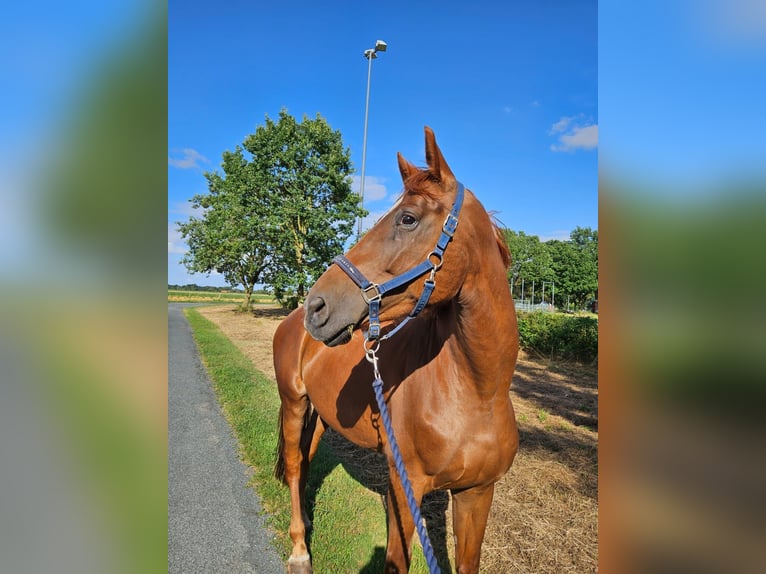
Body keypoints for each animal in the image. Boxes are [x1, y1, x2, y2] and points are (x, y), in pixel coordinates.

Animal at [273, 127, 519, 573]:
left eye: (407, 218)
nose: (318, 306)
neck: (476, 394)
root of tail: (292, 321)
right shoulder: (405, 491)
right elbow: (394, 561)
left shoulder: (477, 493)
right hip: (294, 402)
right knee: (296, 465)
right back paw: (300, 549)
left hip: (320, 414)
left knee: (307, 457)